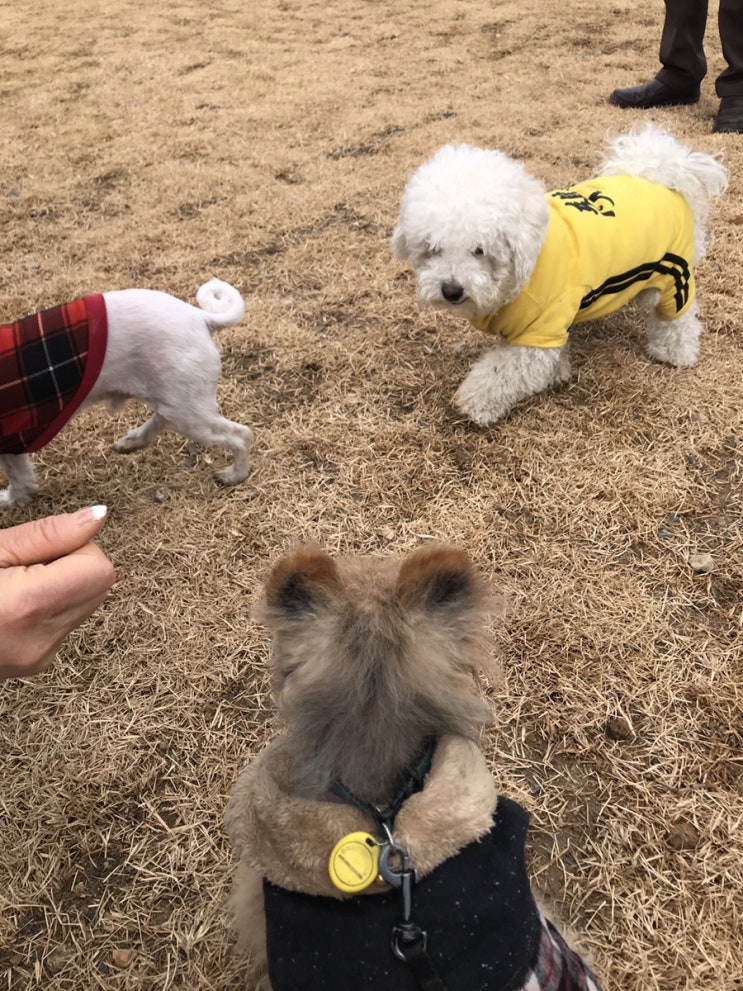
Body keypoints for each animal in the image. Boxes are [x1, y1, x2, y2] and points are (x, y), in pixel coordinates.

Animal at [392, 124, 728, 426]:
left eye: (480, 250)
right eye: (433, 248)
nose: (451, 290)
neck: (524, 267)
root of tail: (661, 174)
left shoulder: (538, 333)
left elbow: (501, 374)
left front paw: (475, 403)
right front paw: (559, 373)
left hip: (674, 275)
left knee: (680, 320)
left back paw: (675, 353)